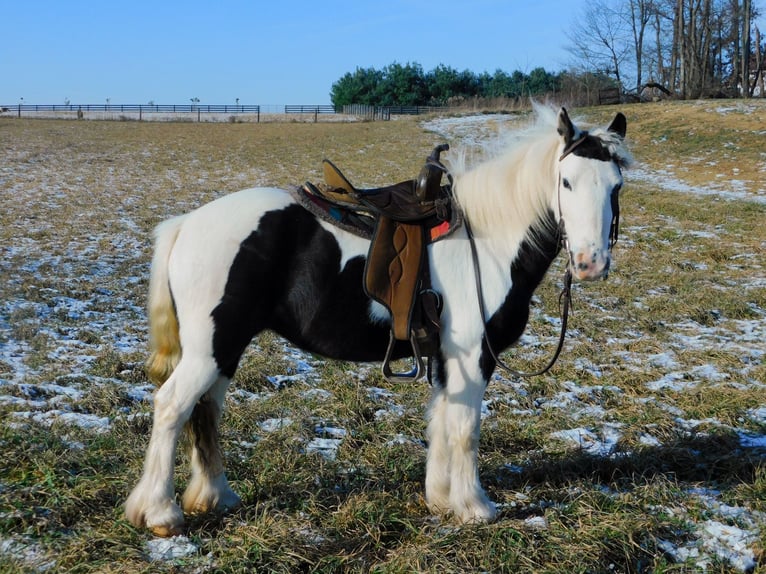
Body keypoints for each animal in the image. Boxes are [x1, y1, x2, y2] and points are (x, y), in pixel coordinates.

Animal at [124, 106, 632, 536]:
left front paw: (441, 499)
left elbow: (441, 421)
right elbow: (465, 429)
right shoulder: (472, 355)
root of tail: (186, 225)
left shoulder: (446, 358)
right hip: (211, 349)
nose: (590, 263)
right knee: (172, 406)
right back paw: (160, 513)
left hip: (223, 350)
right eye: (566, 182)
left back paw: (215, 496)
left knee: (205, 410)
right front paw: (475, 507)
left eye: (616, 186)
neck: (488, 240)